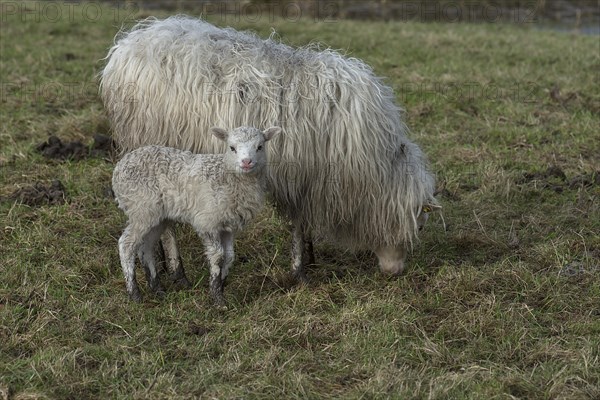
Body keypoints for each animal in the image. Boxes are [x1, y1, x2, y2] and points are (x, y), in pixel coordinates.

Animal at [99, 16, 440, 282]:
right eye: (420, 226)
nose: (395, 271)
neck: (373, 170)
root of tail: (127, 45)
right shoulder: (302, 177)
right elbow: (299, 223)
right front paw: (301, 269)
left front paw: (310, 258)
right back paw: (177, 269)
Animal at [112, 126, 282, 304]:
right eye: (232, 148)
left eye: (260, 147)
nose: (246, 162)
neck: (227, 177)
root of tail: (119, 167)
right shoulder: (207, 221)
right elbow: (218, 255)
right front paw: (217, 296)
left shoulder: (228, 225)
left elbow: (229, 256)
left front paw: (222, 284)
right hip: (141, 208)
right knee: (126, 244)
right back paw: (135, 294)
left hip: (157, 216)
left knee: (146, 248)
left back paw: (157, 289)